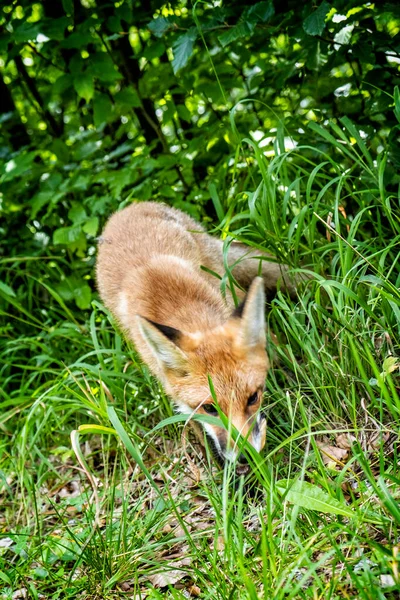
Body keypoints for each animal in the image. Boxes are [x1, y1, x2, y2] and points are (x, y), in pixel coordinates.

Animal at [95, 202, 292, 474]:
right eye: (209, 408)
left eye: (253, 398)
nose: (246, 458)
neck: (181, 308)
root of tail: (128, 208)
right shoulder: (173, 389)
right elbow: (197, 428)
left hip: (226, 277)